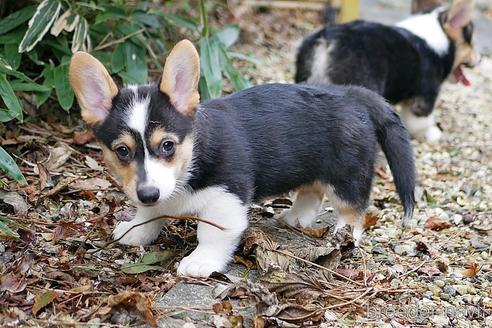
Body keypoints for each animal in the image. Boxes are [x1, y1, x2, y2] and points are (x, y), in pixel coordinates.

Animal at [69, 39, 416, 278]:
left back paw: (344, 237)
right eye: (122, 151)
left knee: (353, 209)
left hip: (347, 175)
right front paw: (136, 230)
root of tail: (352, 94)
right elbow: (149, 214)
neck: (191, 159)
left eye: (167, 145)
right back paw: (295, 218)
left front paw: (200, 262)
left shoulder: (227, 198)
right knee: (312, 191)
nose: (148, 193)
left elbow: (211, 234)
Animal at [294, 0, 478, 142]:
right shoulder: (424, 98)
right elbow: (423, 121)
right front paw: (432, 134)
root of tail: (327, 42)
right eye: (470, 42)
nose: (479, 59)